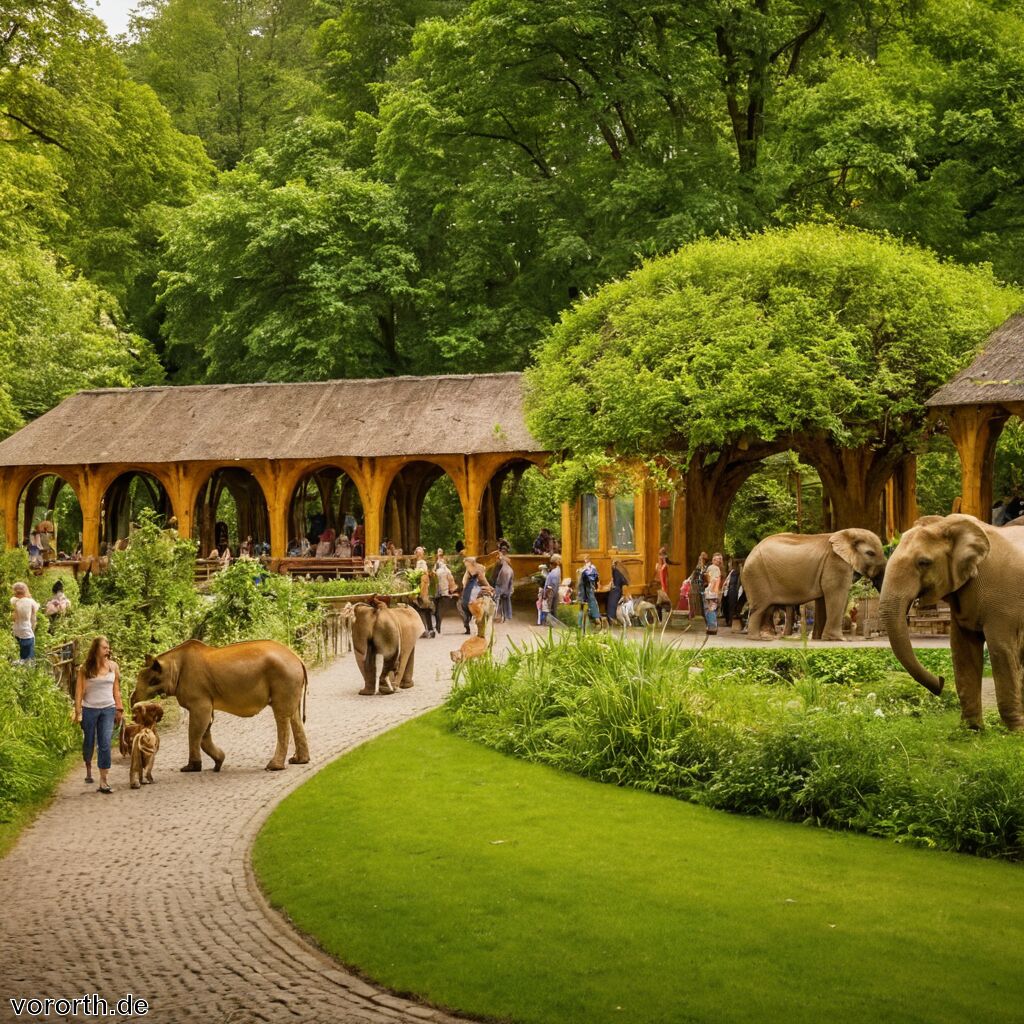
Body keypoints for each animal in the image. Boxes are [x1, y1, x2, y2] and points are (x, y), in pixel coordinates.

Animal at [132, 634, 309, 770]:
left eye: (153, 681)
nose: (132, 699)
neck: (171, 660)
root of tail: (298, 659)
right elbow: (205, 725)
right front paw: (219, 762)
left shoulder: (197, 693)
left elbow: (197, 725)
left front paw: (190, 768)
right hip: (290, 681)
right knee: (294, 716)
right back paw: (299, 761)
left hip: (284, 678)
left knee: (282, 717)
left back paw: (273, 767)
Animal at [737, 528, 888, 638]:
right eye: (870, 553)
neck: (848, 533)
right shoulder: (836, 563)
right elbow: (836, 594)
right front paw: (838, 639)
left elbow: (822, 599)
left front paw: (819, 638)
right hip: (757, 576)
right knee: (759, 608)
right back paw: (756, 638)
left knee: (768, 608)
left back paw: (768, 636)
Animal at [876, 516, 1024, 733]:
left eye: (924, 563)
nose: (940, 681)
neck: (947, 524)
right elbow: (962, 650)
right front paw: (971, 730)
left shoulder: (1003, 600)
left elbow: (1001, 649)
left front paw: (1016, 731)